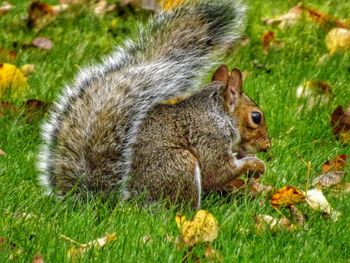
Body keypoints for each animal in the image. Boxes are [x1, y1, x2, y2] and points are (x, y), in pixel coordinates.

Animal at [37, 0, 270, 210]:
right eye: (256, 117)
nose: (268, 146)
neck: (219, 113)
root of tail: (122, 202)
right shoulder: (209, 136)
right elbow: (218, 169)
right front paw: (255, 164)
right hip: (179, 164)